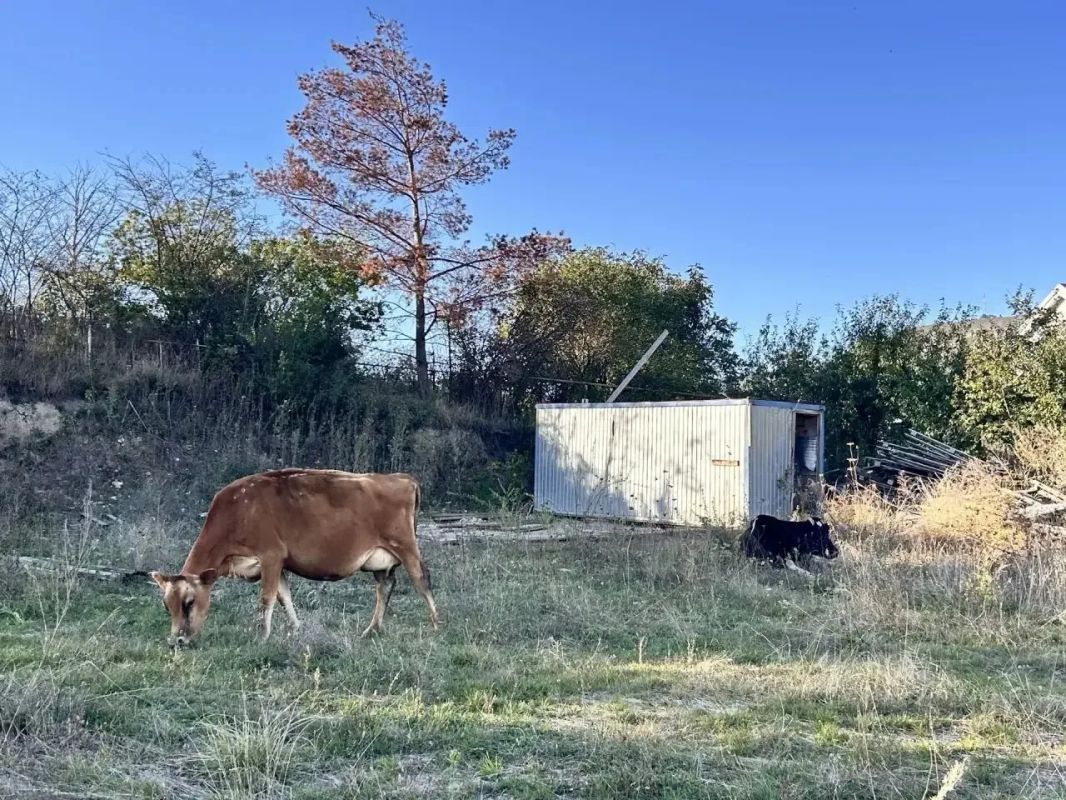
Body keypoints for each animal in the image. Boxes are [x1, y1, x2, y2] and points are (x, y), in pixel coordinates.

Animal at [150, 469, 438, 647]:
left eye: (189, 603)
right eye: (166, 606)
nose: (177, 641)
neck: (237, 512)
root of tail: (401, 478)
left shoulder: (271, 556)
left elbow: (266, 599)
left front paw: (261, 636)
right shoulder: (279, 564)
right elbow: (283, 596)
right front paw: (296, 629)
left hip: (406, 547)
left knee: (422, 580)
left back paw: (436, 624)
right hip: (381, 560)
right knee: (386, 586)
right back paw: (372, 629)